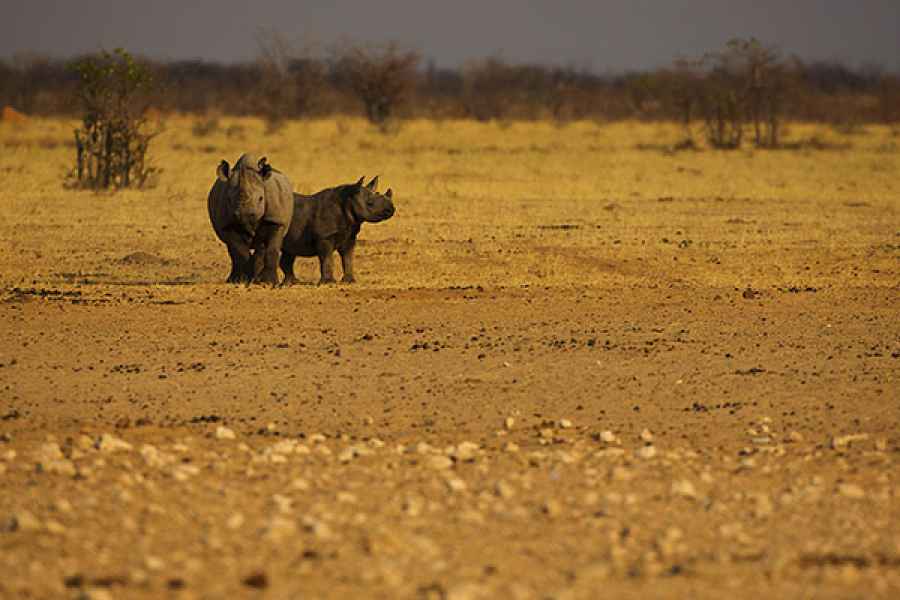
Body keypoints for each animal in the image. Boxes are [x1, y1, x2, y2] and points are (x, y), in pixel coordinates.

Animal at [207, 155, 292, 286]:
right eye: (228, 199)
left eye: (261, 199)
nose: (244, 215)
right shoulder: (228, 224)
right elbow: (239, 251)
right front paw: (242, 280)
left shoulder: (276, 220)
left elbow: (272, 249)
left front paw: (269, 282)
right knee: (232, 249)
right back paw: (235, 280)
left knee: (261, 246)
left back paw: (256, 279)